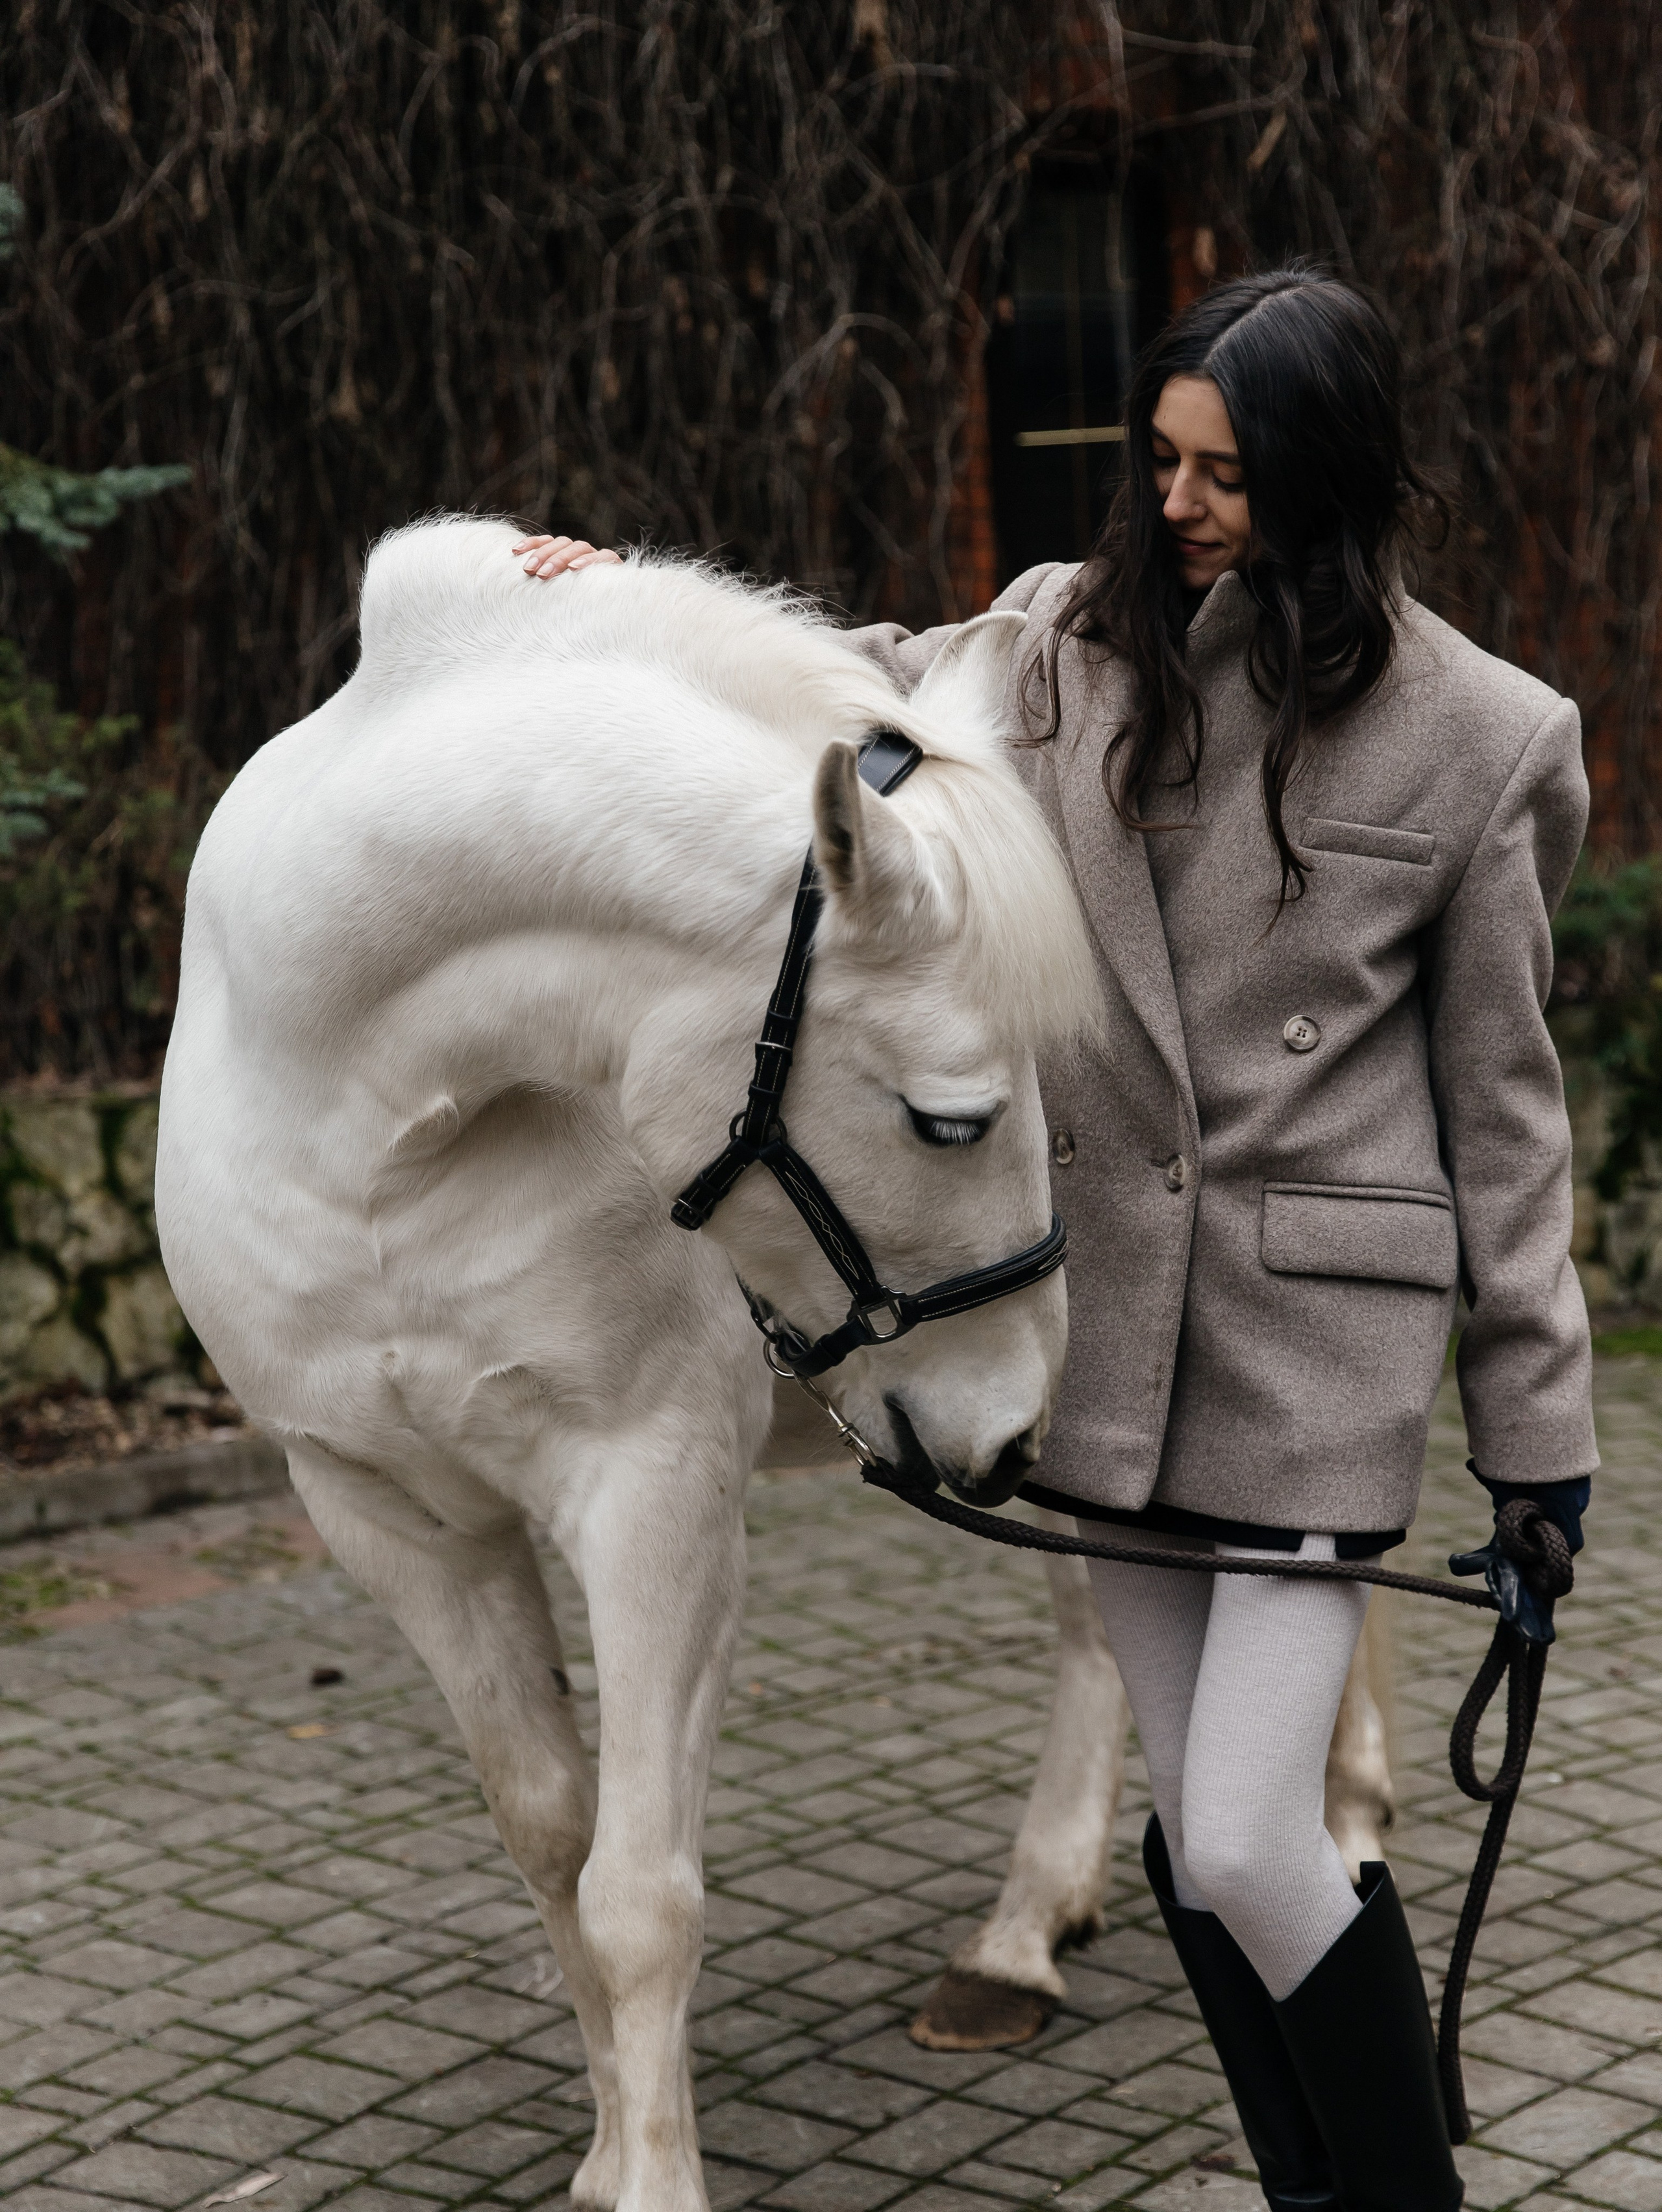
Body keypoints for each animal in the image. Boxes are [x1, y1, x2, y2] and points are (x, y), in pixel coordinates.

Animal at [155, 515, 1105, 2212]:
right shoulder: (397, 1519)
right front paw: (605, 2150)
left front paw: (650, 2173)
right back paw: (1031, 1924)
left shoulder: (652, 1495)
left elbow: (639, 1886)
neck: (376, 1134)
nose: (997, 1432)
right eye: (950, 1120)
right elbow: (550, 1834)